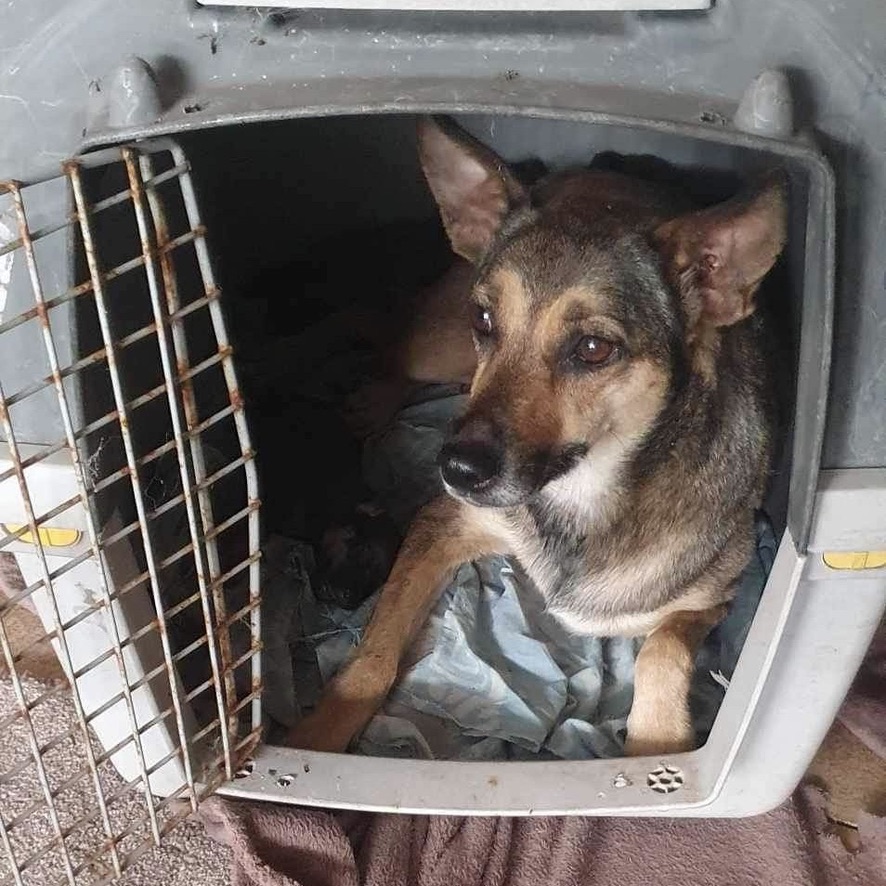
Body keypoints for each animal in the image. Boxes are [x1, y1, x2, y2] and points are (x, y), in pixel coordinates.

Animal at [288, 114, 788, 760]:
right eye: (485, 320)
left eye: (594, 349)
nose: (456, 470)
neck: (585, 495)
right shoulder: (441, 524)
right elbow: (372, 655)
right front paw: (317, 735)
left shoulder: (711, 596)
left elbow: (661, 651)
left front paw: (657, 740)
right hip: (438, 343)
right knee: (384, 331)